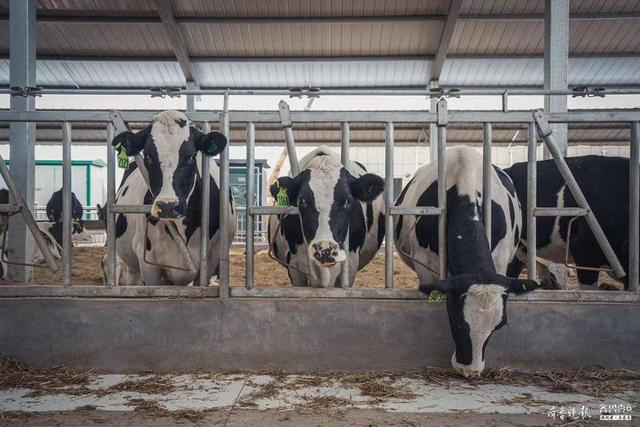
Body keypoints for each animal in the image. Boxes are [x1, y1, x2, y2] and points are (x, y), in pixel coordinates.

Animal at [107, 110, 235, 286]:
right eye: (148, 157)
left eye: (191, 156)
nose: (167, 206)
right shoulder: (148, 264)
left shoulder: (209, 261)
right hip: (133, 264)